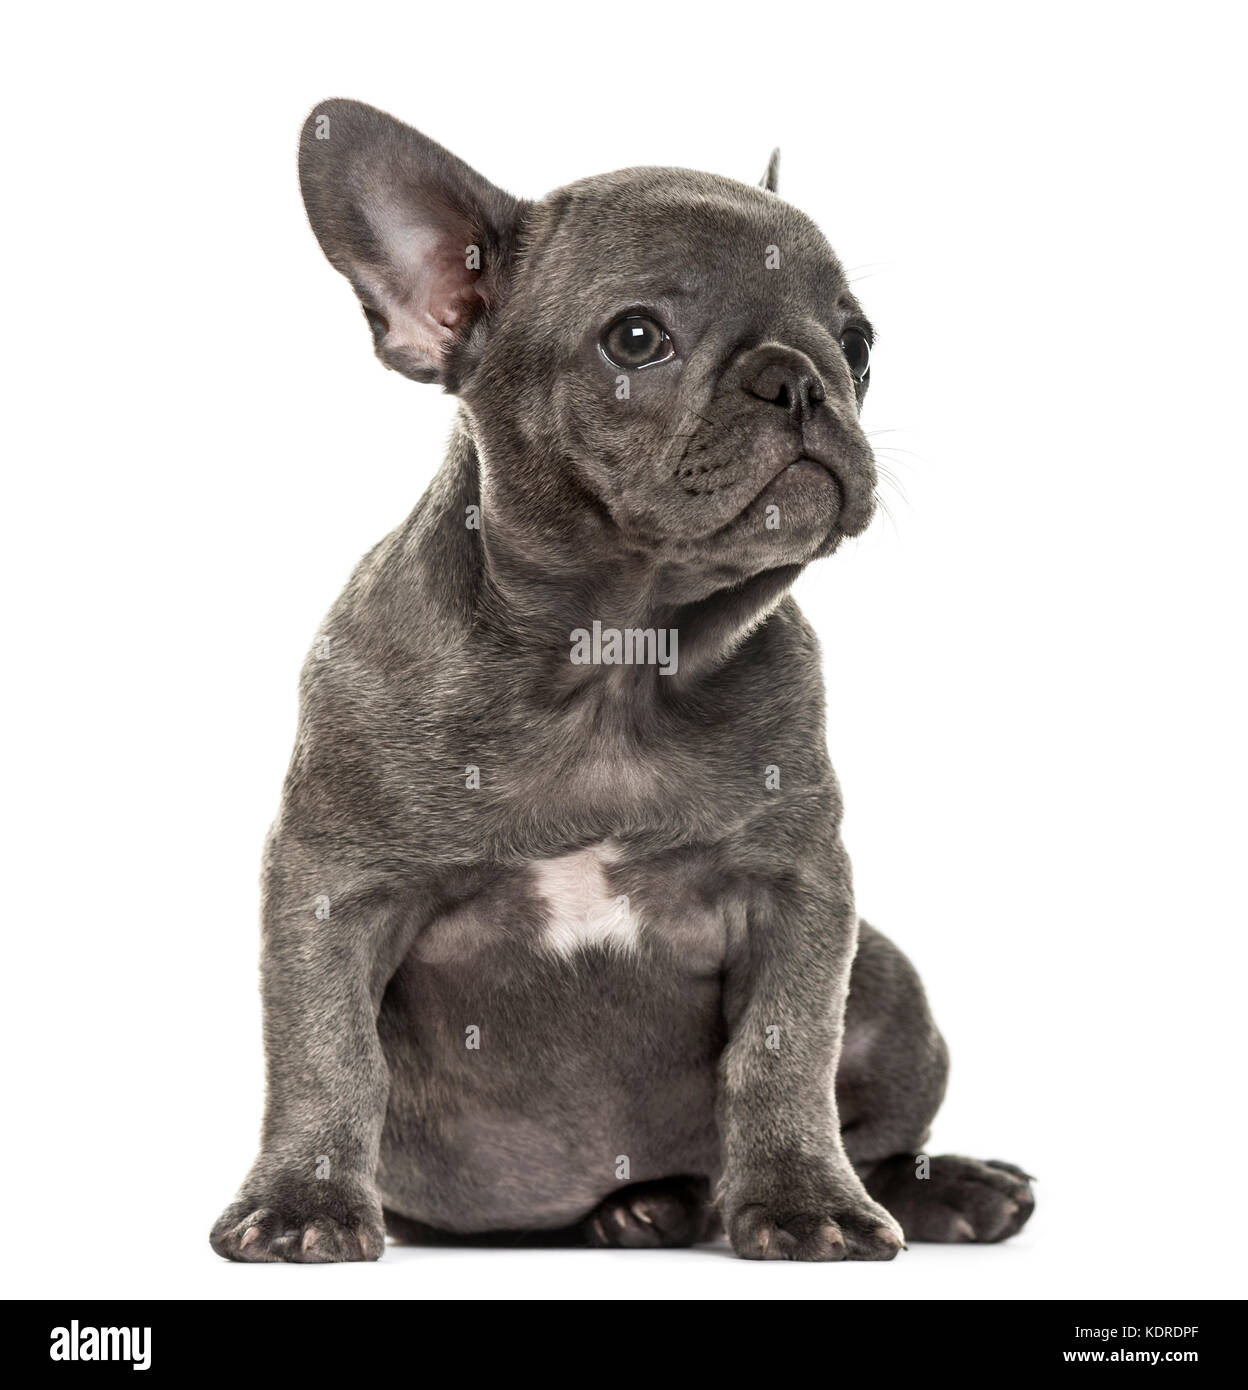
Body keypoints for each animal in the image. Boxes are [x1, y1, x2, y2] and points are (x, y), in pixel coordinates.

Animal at [211, 102, 1033, 1267]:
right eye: (636, 339)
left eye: (860, 342)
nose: (801, 377)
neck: (616, 661)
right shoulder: (334, 882)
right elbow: (327, 1050)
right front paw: (301, 1202)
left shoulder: (796, 888)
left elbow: (784, 1050)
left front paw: (804, 1201)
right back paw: (645, 1207)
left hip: (891, 981)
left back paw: (930, 1188)